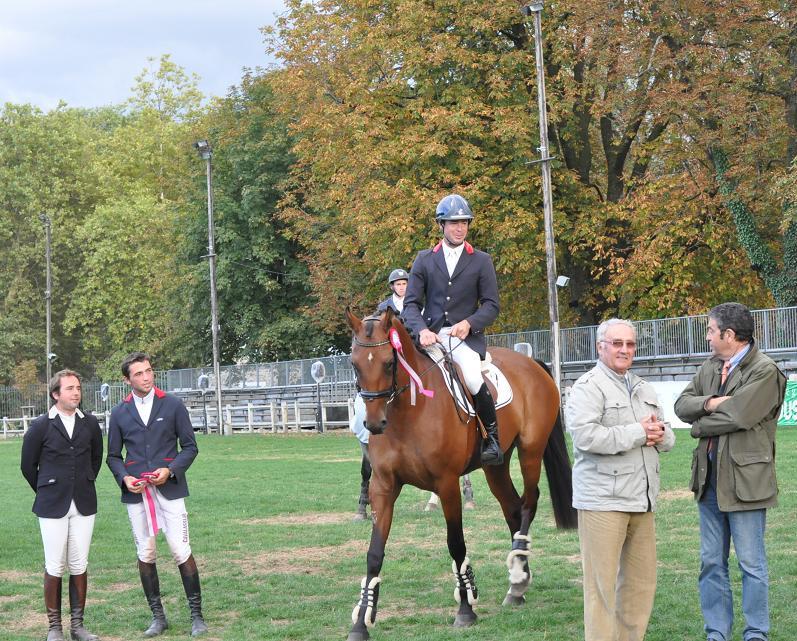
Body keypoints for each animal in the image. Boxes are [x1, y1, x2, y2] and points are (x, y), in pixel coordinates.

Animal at [346, 308, 576, 636]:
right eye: (354, 364)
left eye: (390, 362)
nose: (374, 424)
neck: (407, 412)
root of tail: (531, 363)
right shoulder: (383, 486)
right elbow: (374, 553)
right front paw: (361, 622)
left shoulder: (446, 484)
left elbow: (455, 543)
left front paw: (465, 608)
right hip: (497, 466)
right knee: (513, 509)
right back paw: (517, 584)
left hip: (530, 451)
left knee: (529, 503)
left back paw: (518, 578)